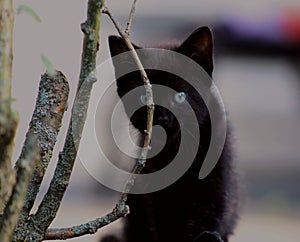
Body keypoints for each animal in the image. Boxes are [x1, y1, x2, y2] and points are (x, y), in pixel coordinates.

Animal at [105, 26, 239, 242]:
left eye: (180, 96)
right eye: (144, 98)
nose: (163, 119)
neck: (177, 151)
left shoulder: (217, 181)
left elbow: (211, 211)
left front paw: (208, 236)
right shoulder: (154, 195)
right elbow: (164, 225)